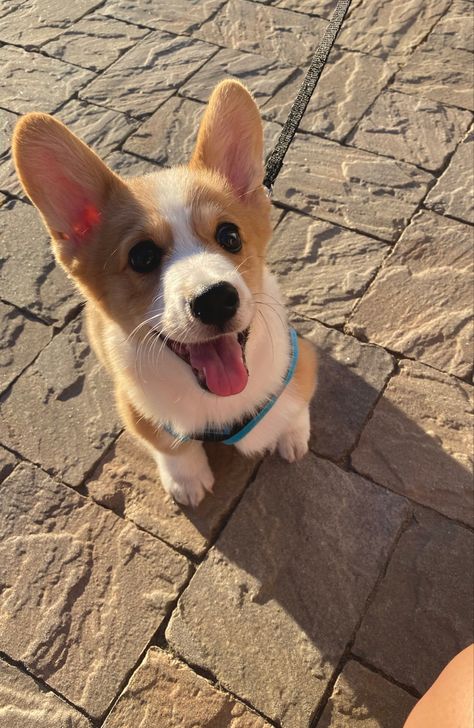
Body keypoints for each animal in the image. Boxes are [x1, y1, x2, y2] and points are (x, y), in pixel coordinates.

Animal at [14, 81, 316, 506]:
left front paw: (292, 436)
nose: (215, 299)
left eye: (230, 236)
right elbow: (171, 444)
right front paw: (187, 481)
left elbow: (295, 404)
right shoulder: (135, 406)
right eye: (142, 257)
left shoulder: (301, 360)